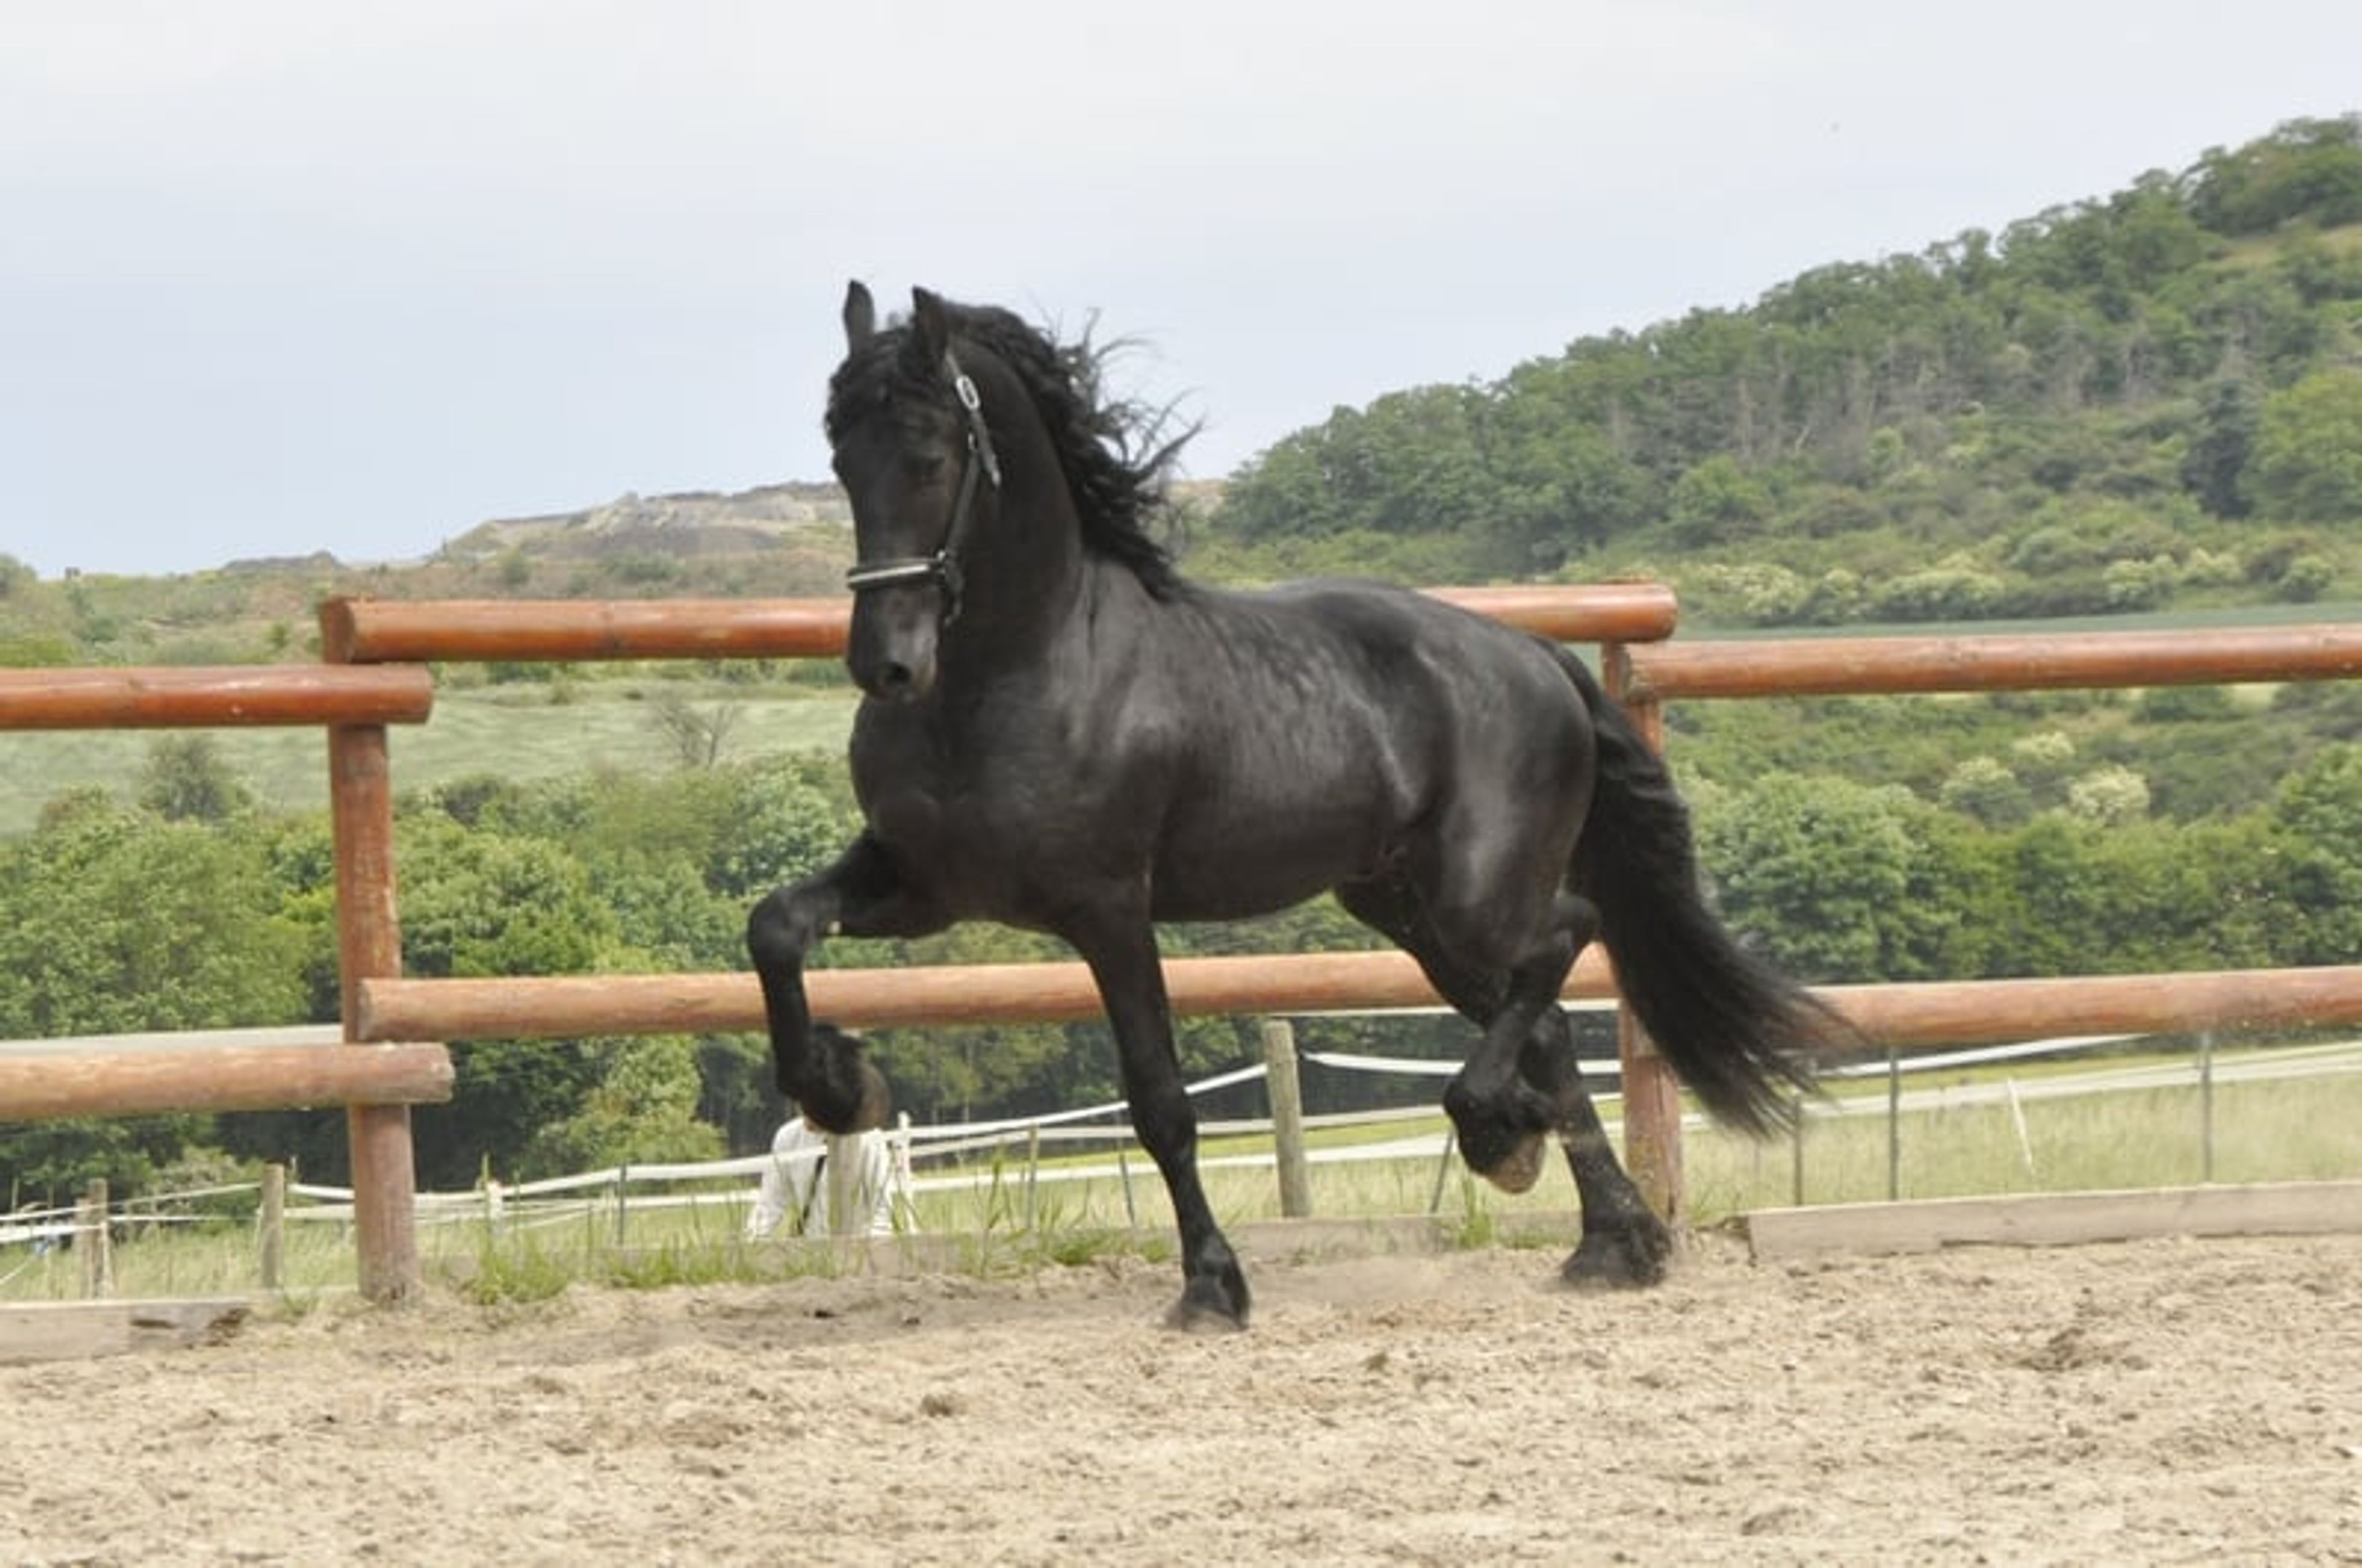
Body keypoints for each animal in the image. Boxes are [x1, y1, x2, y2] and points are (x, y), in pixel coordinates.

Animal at [747, 282, 1843, 1328]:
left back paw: (1502, 1139)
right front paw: (841, 1086)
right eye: (842, 460)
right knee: (1549, 1031)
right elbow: (776, 927)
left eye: (931, 457)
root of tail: (1539, 656)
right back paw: (1610, 1242)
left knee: (1564, 937)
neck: (1019, 674)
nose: (886, 665)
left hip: (1473, 899)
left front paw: (1212, 1290)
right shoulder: (928, 884)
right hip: (1406, 911)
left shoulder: (1107, 907)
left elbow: (1160, 1101)